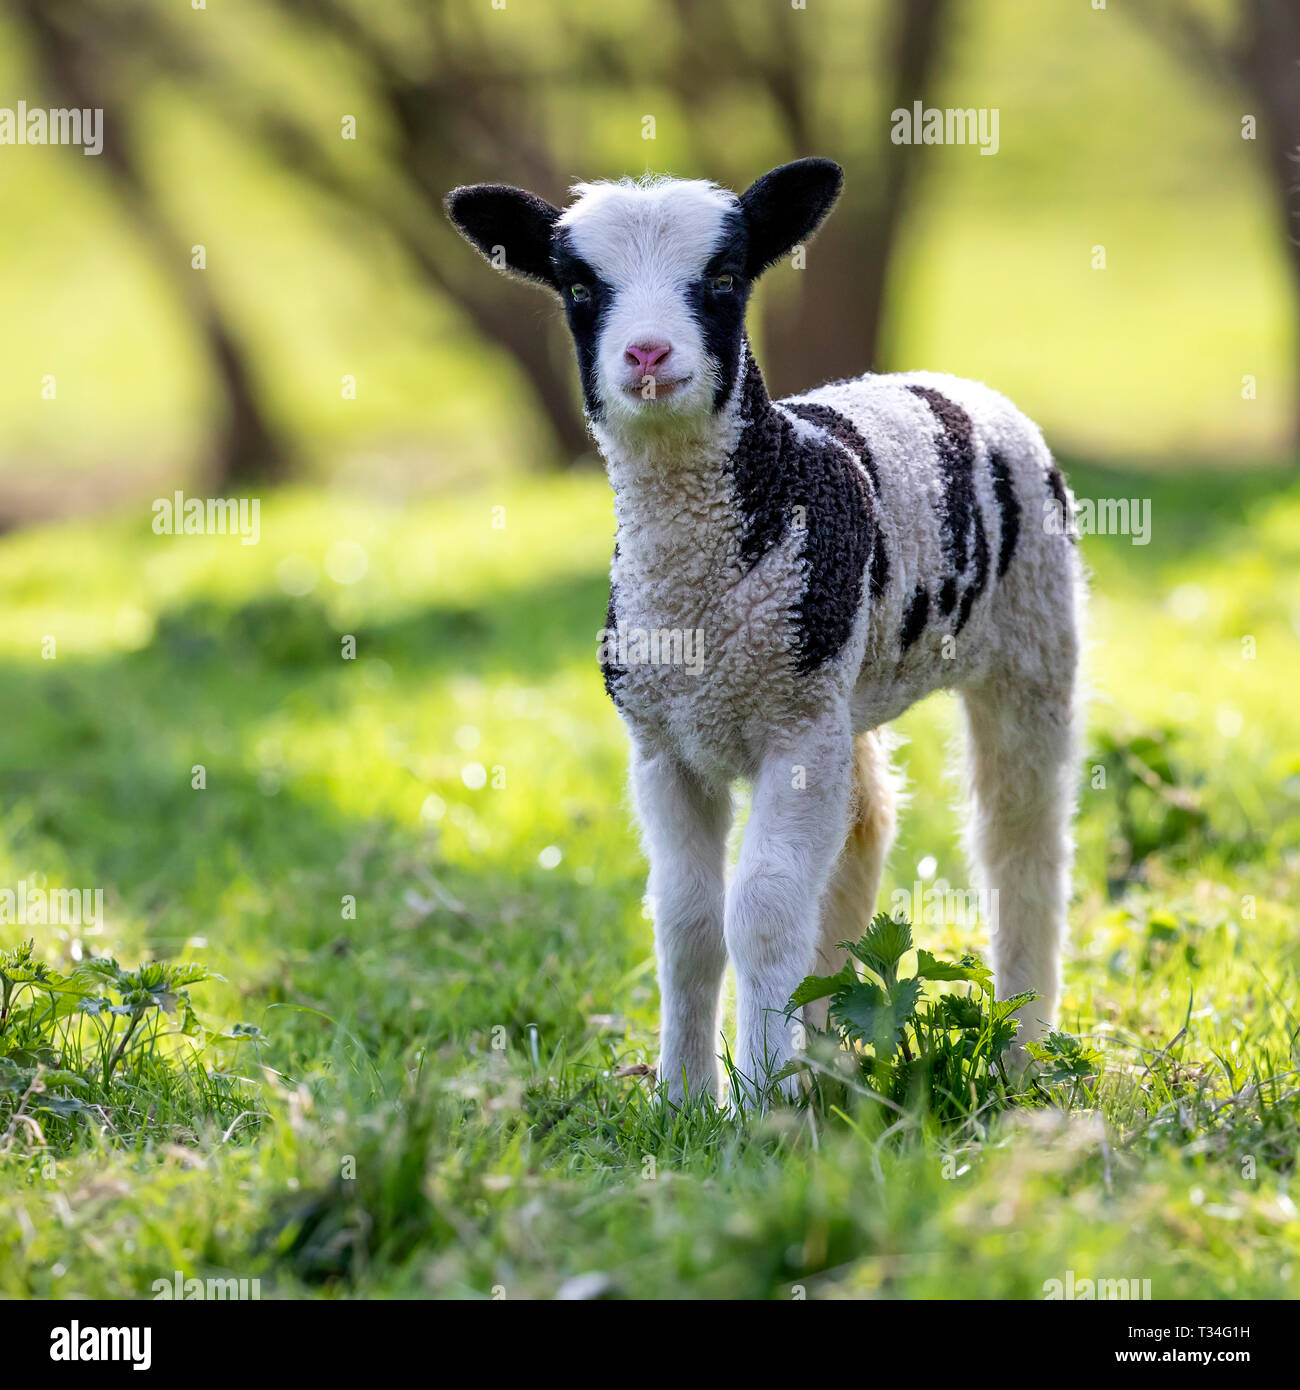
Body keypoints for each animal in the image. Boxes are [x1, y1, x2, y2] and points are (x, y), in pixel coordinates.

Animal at [445, 159, 1084, 1105]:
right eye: (578, 288)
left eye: (722, 279)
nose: (647, 355)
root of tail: (953, 385)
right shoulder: (666, 743)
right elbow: (688, 923)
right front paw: (684, 1098)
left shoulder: (792, 729)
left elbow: (763, 914)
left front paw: (758, 1102)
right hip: (842, 692)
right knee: (862, 830)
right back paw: (826, 1050)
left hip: (1034, 639)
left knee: (1021, 848)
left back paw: (1021, 1052)